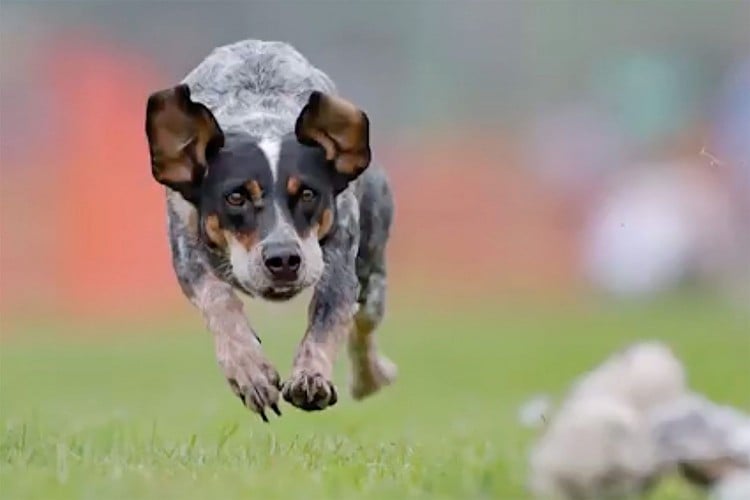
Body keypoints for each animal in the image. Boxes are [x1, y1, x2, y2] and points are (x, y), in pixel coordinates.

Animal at [143, 40, 396, 422]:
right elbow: (220, 300)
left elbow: (327, 318)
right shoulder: (186, 254)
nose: (283, 259)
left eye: (308, 193)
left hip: (371, 265)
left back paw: (371, 376)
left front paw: (311, 376)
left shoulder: (339, 261)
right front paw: (251, 373)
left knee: (364, 324)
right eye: (235, 197)